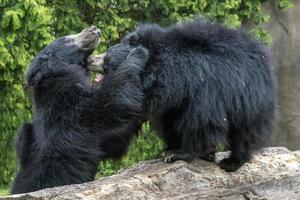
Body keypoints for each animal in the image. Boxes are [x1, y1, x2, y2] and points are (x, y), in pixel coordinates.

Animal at [12, 25, 149, 194]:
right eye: (67, 39)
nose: (94, 28)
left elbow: (114, 140)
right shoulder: (70, 110)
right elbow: (111, 103)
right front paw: (137, 53)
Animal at [92, 19, 278, 172]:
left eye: (106, 58)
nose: (91, 59)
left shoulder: (202, 89)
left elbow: (200, 122)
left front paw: (177, 154)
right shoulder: (172, 101)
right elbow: (170, 121)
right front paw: (170, 149)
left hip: (248, 97)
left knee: (245, 133)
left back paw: (231, 163)